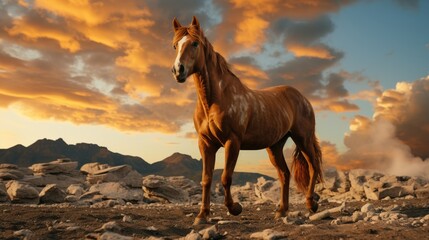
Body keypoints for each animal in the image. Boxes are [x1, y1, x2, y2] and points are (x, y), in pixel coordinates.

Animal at [170, 16, 320, 225]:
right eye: (175, 45)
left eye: (194, 43)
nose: (178, 71)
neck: (215, 101)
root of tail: (302, 97)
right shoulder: (206, 143)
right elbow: (206, 179)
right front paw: (202, 215)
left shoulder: (232, 141)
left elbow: (226, 177)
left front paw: (235, 208)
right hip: (275, 146)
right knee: (284, 174)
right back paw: (281, 211)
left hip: (303, 138)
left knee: (313, 167)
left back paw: (311, 204)